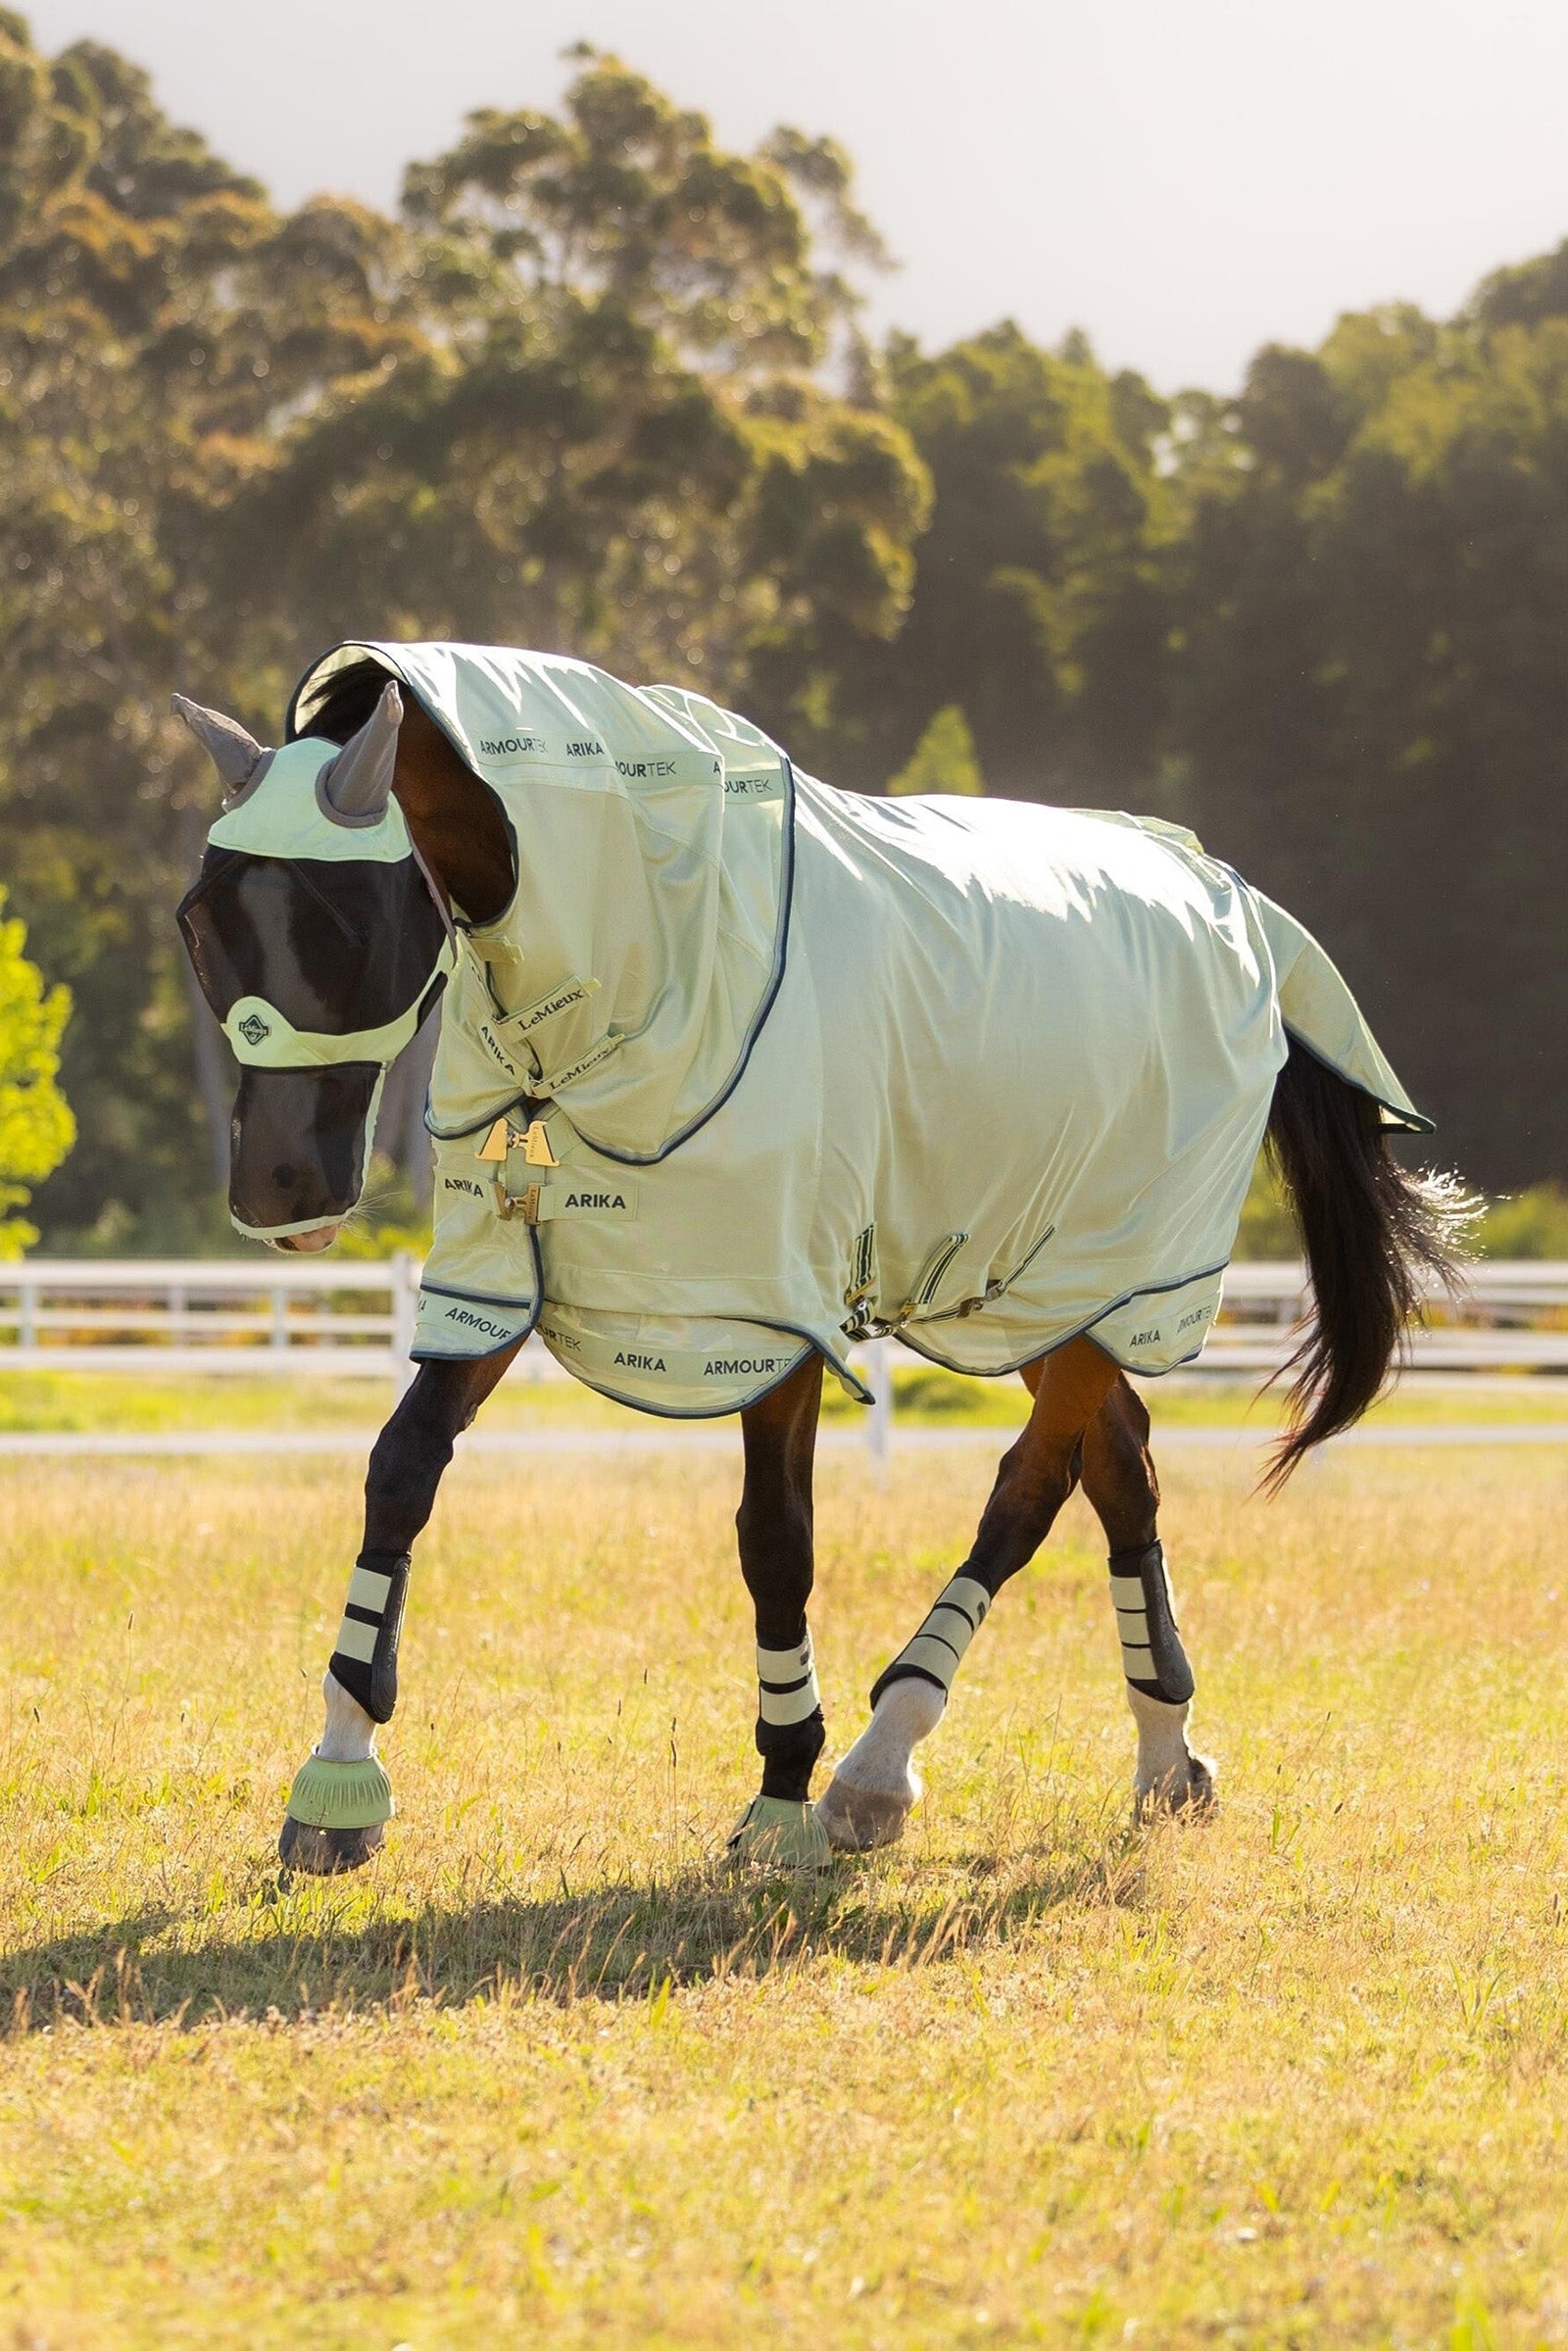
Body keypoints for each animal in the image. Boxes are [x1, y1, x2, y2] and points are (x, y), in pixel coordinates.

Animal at [173, 643, 1465, 1875]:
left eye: (346, 922)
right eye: (200, 922)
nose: (279, 1193)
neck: (644, 947)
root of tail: (1231, 903)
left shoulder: (761, 1317)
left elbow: (775, 1541)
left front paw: (783, 1795)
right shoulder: (493, 1281)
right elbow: (401, 1472)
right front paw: (336, 1781)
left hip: (1116, 1271)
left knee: (1029, 1487)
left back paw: (879, 1768)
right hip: (1045, 1290)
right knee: (1121, 1470)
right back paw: (1166, 1758)